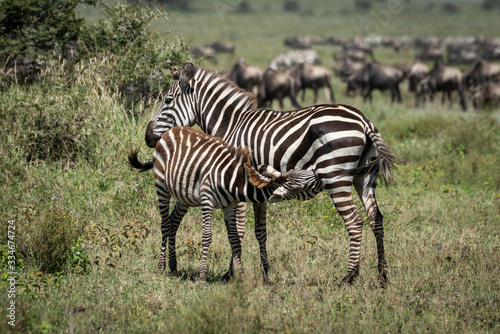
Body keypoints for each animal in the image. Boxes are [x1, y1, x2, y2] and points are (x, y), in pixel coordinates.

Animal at [129, 125, 316, 282]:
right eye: (305, 184)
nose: (319, 174)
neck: (233, 180)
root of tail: (171, 130)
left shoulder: (230, 205)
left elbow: (234, 238)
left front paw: (240, 275)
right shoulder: (207, 198)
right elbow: (207, 236)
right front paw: (202, 276)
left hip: (183, 196)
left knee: (173, 222)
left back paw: (173, 268)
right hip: (161, 186)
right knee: (165, 224)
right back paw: (161, 267)